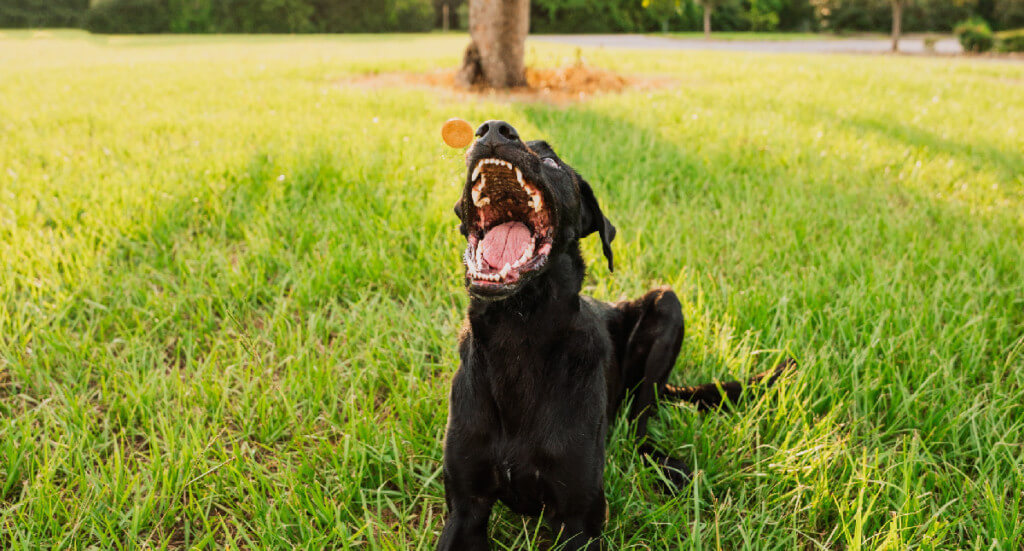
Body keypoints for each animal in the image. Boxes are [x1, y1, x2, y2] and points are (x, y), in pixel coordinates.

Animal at [438, 119, 790, 548]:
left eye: (552, 162)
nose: (492, 130)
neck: (518, 333)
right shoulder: (465, 506)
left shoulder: (579, 518)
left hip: (667, 308)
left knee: (641, 420)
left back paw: (668, 467)